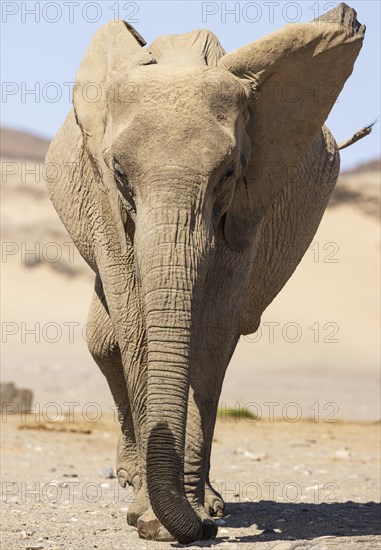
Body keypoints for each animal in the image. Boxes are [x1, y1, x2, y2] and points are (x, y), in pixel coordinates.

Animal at [46, 3, 366, 548]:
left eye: (228, 175)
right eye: (119, 174)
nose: (209, 529)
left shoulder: (250, 203)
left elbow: (214, 325)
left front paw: (188, 514)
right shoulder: (101, 197)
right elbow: (134, 324)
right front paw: (147, 518)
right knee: (104, 341)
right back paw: (131, 478)